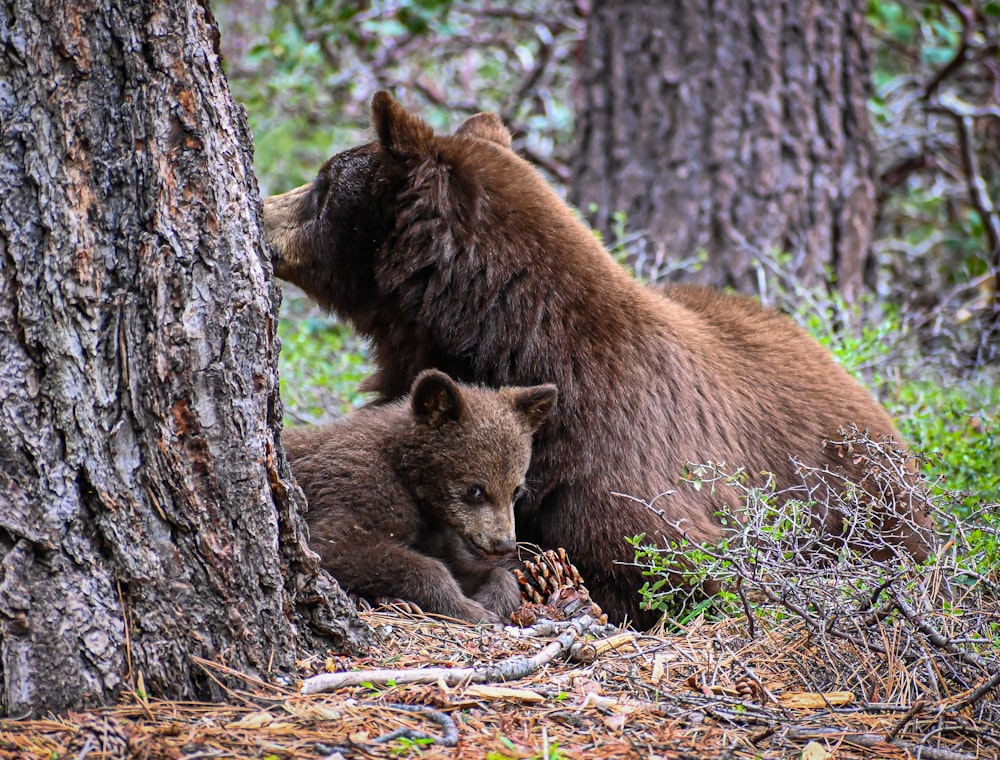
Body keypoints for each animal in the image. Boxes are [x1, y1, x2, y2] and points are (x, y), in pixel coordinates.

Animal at [262, 92, 932, 628]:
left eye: (323, 183)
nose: (263, 211)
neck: (513, 341)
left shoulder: (621, 456)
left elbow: (675, 562)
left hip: (869, 505)